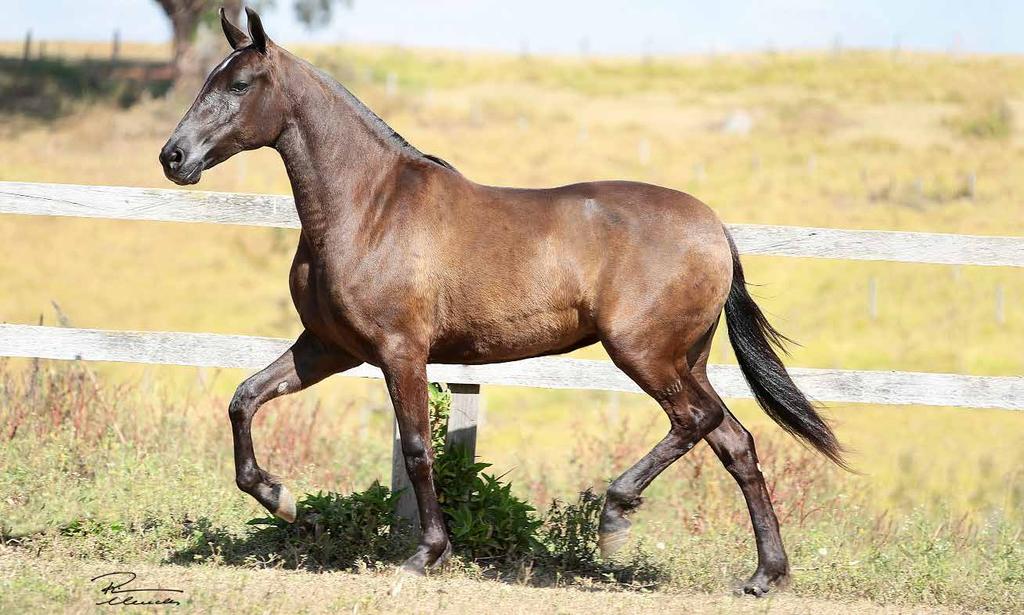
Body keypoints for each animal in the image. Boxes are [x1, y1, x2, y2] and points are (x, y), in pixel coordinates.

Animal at [159, 7, 843, 593]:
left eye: (240, 84)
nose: (173, 157)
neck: (369, 207)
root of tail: (715, 229)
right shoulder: (327, 348)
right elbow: (244, 400)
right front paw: (285, 501)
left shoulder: (399, 352)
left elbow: (417, 450)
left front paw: (425, 555)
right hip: (684, 359)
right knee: (735, 442)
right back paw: (765, 575)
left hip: (644, 353)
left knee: (696, 422)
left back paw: (615, 517)